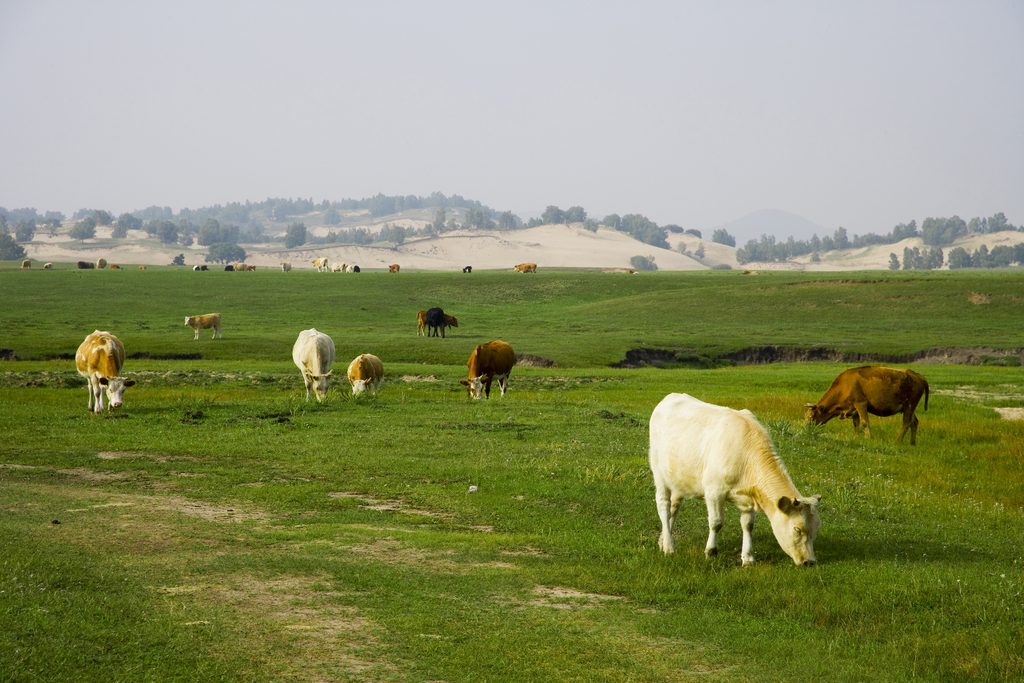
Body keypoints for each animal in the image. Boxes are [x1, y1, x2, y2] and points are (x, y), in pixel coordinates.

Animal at [647, 393, 823, 569]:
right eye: (798, 529)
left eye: (816, 529)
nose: (809, 561)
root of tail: (672, 396)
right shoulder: (713, 491)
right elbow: (716, 522)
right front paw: (711, 552)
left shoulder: (750, 495)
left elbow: (748, 525)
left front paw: (748, 557)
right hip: (658, 471)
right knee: (664, 506)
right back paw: (669, 547)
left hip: (678, 478)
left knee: (674, 507)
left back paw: (663, 540)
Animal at [802, 368, 933, 444]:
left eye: (811, 417)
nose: (805, 428)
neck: (844, 385)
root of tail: (918, 376)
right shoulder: (854, 408)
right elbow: (856, 423)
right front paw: (855, 436)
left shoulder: (861, 404)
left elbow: (865, 422)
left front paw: (867, 437)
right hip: (909, 408)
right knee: (914, 422)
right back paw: (912, 443)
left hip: (909, 406)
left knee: (906, 423)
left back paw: (898, 441)